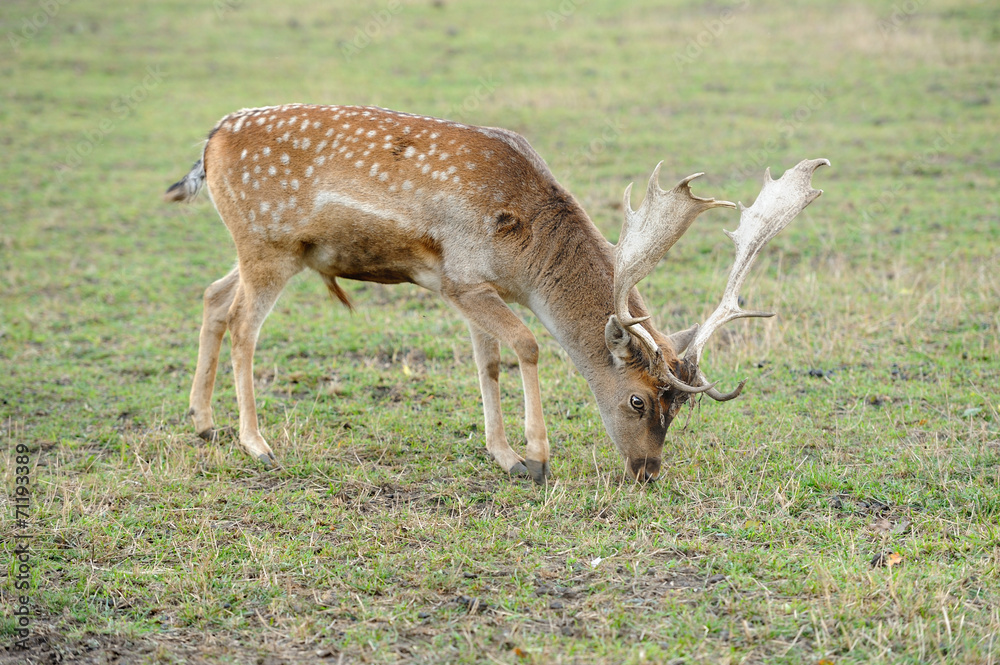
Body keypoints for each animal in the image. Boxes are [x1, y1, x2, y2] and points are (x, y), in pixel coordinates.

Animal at [166, 106, 828, 486]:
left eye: (679, 409)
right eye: (639, 401)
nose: (647, 471)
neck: (524, 254)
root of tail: (208, 142)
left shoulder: (464, 288)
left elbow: (486, 361)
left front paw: (503, 454)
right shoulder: (461, 276)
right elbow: (527, 345)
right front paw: (536, 458)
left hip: (269, 250)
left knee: (213, 297)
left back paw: (203, 422)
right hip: (268, 244)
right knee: (244, 324)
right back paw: (257, 444)